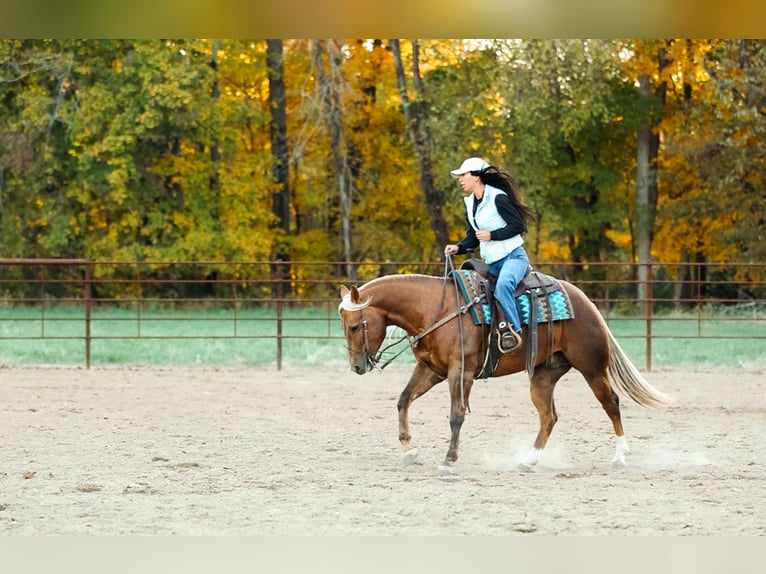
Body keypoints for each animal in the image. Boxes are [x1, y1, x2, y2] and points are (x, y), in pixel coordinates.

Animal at [338, 270, 674, 470]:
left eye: (354, 326)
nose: (357, 366)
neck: (437, 309)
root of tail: (585, 302)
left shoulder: (461, 373)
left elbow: (456, 415)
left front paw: (449, 460)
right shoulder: (431, 369)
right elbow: (403, 400)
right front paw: (408, 450)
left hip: (592, 368)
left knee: (611, 403)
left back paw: (620, 455)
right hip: (543, 375)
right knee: (549, 416)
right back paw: (528, 459)